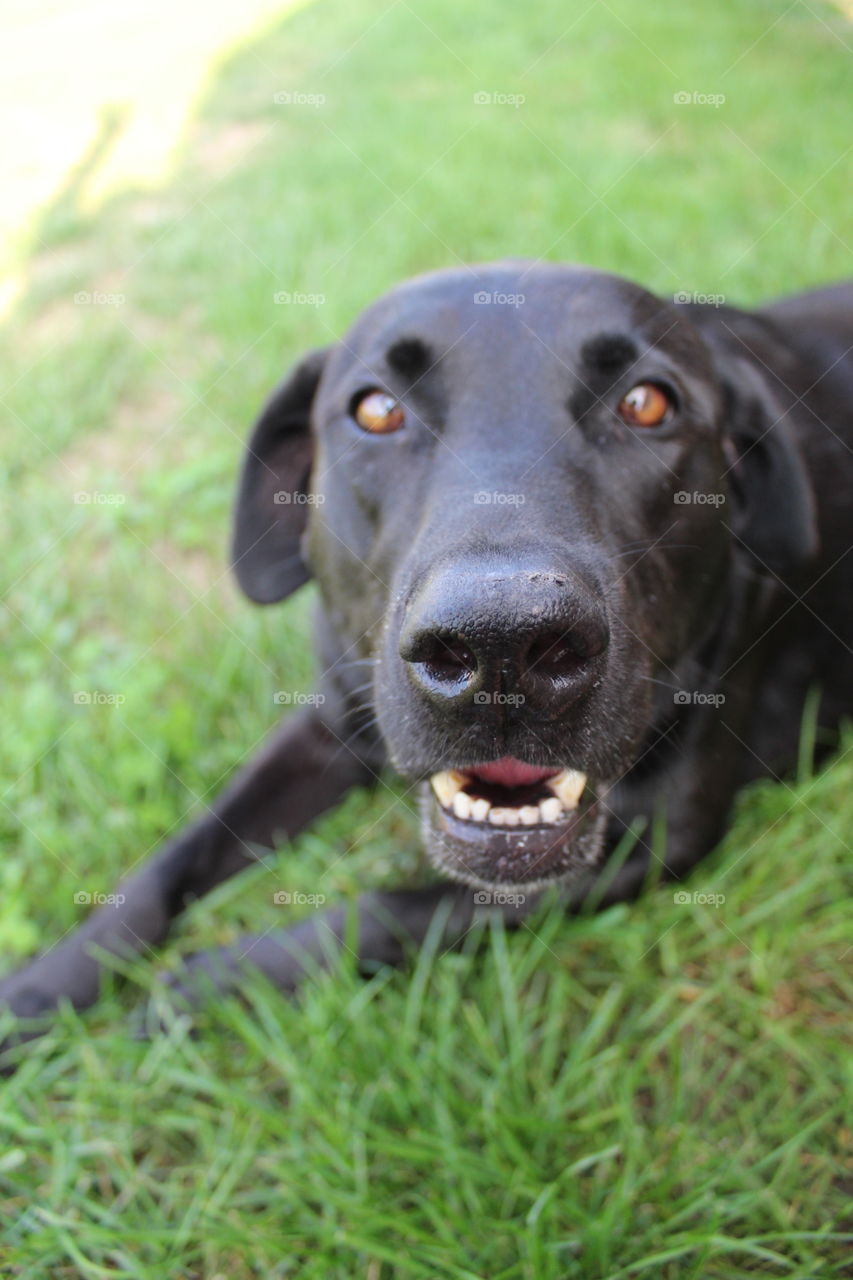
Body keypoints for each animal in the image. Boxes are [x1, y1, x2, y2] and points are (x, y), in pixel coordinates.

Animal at [1, 264, 850, 1044]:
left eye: (646, 402)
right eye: (376, 410)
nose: (503, 644)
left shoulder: (665, 834)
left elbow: (392, 909)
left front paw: (222, 978)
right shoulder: (330, 724)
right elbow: (176, 854)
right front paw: (46, 984)